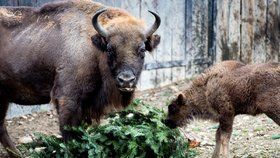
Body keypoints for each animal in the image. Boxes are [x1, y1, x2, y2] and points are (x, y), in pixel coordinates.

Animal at [0, 0, 161, 156]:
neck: (94, 49)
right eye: (110, 49)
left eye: (142, 49)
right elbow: (69, 135)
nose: (126, 80)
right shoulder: (67, 100)